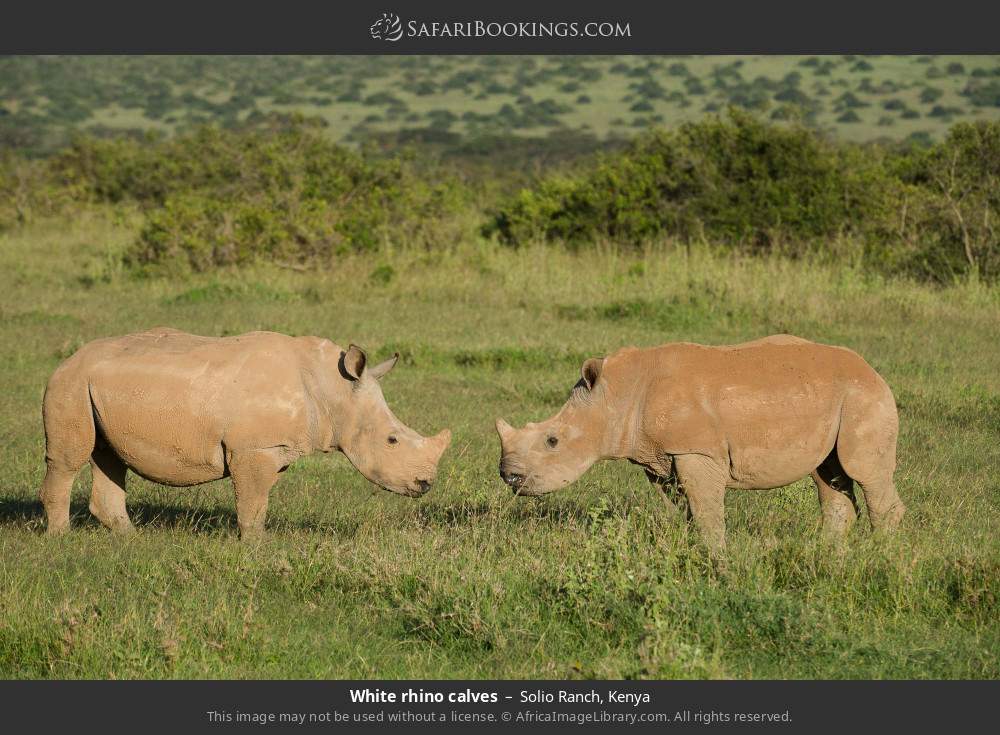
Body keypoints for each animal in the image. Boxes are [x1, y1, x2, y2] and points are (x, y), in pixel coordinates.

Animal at [41, 330, 452, 536]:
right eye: (392, 440)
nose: (426, 484)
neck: (332, 390)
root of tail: (67, 359)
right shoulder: (253, 449)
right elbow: (252, 504)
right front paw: (256, 548)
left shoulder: (273, 448)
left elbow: (258, 502)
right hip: (71, 383)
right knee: (70, 458)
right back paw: (61, 539)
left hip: (99, 387)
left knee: (108, 456)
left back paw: (130, 539)